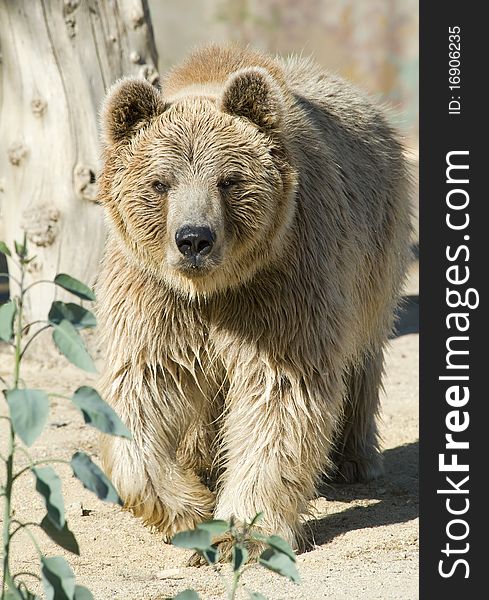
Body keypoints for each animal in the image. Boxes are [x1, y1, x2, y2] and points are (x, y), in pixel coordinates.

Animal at [97, 44, 410, 556]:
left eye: (229, 180)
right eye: (160, 182)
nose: (194, 239)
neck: (215, 289)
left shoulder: (281, 285)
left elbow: (279, 394)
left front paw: (242, 529)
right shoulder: (155, 296)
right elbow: (141, 388)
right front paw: (190, 506)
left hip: (374, 253)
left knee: (363, 355)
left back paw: (354, 459)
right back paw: (198, 459)